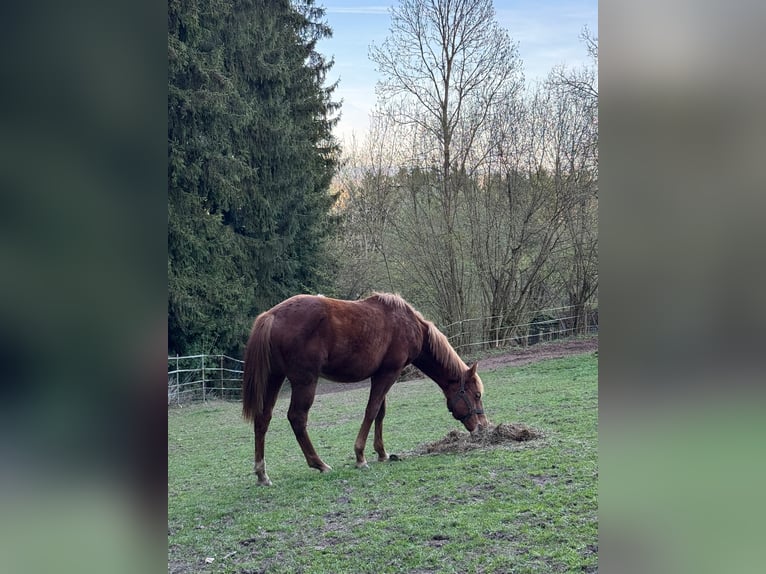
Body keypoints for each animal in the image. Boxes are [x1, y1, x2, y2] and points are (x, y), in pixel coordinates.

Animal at [242, 292, 488, 485]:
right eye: (476, 395)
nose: (483, 426)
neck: (409, 324)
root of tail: (271, 316)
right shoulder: (389, 373)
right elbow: (371, 411)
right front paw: (360, 456)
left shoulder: (380, 375)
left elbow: (380, 412)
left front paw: (381, 452)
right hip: (305, 382)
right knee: (297, 418)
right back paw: (319, 464)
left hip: (274, 378)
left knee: (263, 419)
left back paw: (262, 474)